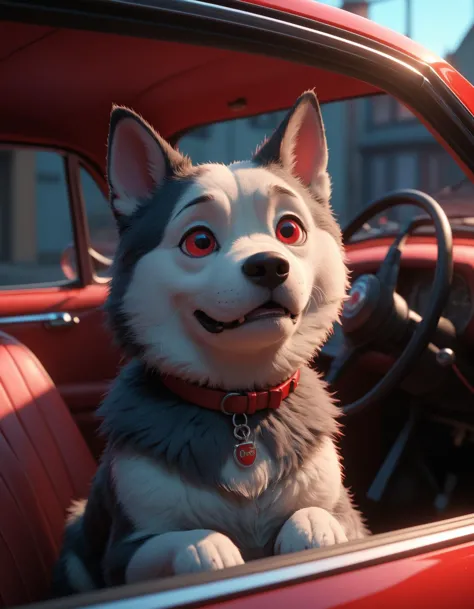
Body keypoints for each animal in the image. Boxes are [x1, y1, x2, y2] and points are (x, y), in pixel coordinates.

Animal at [52, 89, 370, 592]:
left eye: (289, 229)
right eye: (199, 241)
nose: (269, 265)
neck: (240, 405)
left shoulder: (347, 512)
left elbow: (317, 516)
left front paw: (310, 531)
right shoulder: (124, 550)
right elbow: (183, 542)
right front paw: (209, 549)